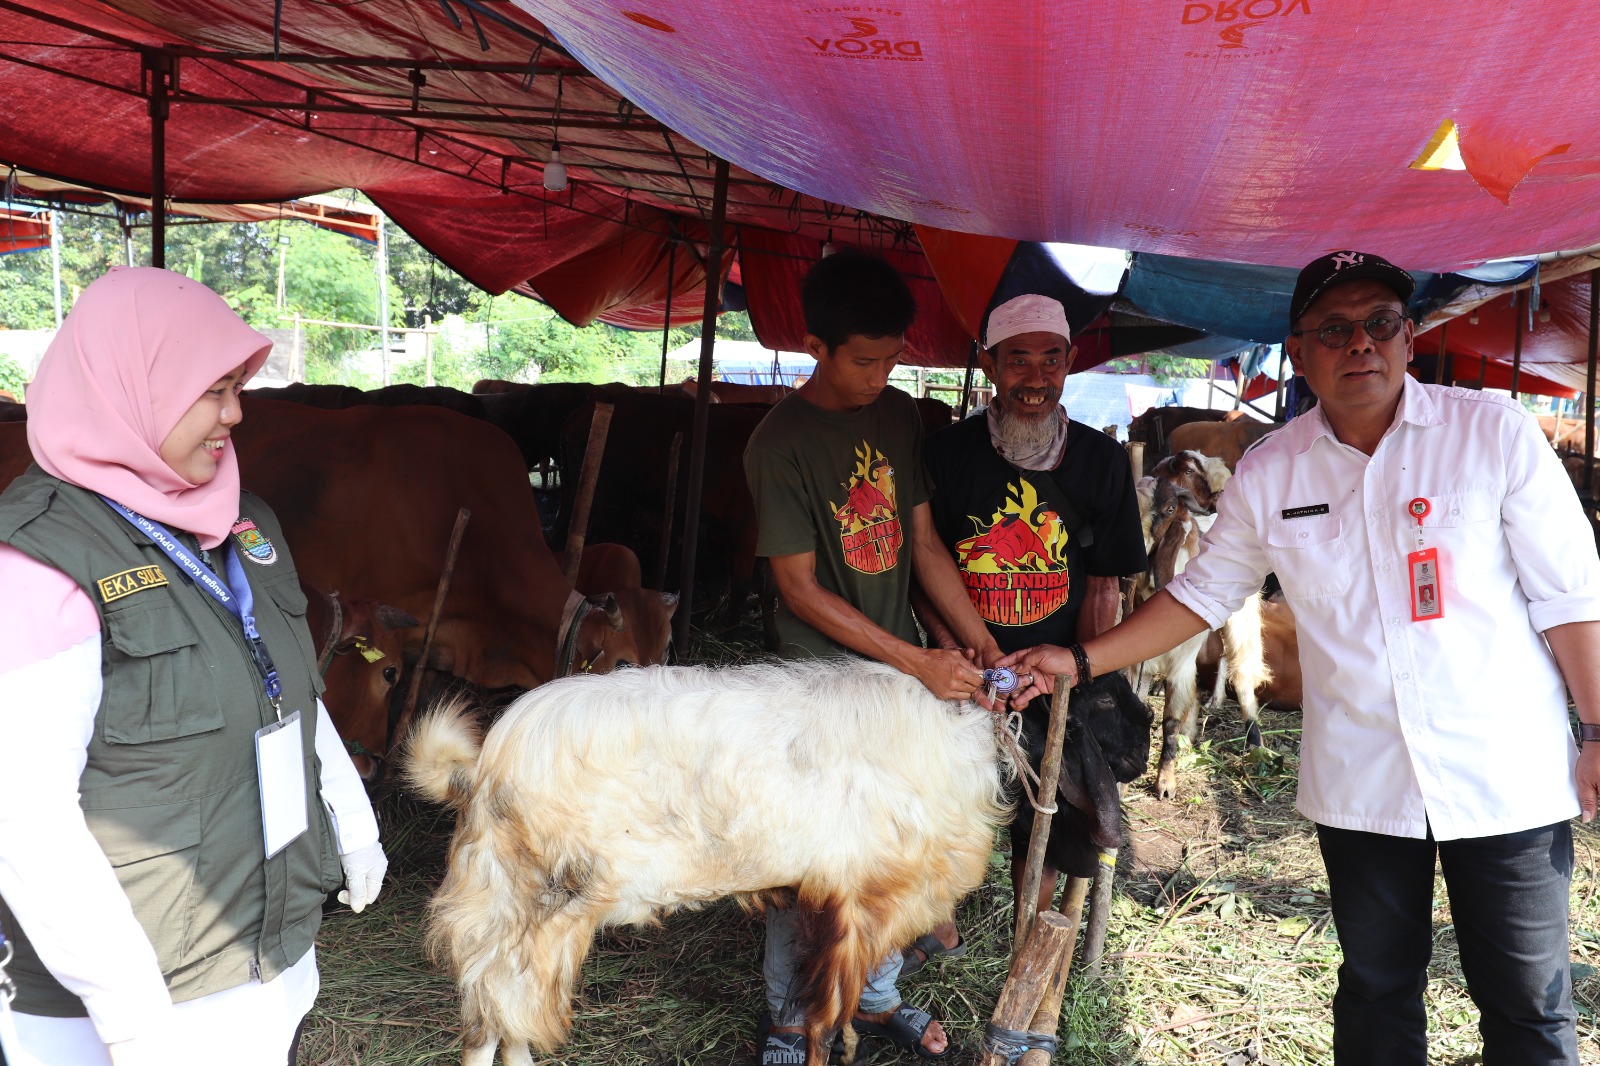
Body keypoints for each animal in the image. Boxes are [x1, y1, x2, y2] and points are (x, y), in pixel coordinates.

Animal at [406, 656, 1004, 1062]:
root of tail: (482, 771)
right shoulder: (864, 901)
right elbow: (825, 1020)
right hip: (530, 905)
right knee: (494, 1019)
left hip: (508, 911)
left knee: (499, 1017)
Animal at [1132, 444, 1267, 797]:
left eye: (1169, 509)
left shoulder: (1180, 659)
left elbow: (1169, 719)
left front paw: (1165, 782)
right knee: (1218, 658)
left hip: (1240, 624)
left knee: (1242, 676)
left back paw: (1255, 744)